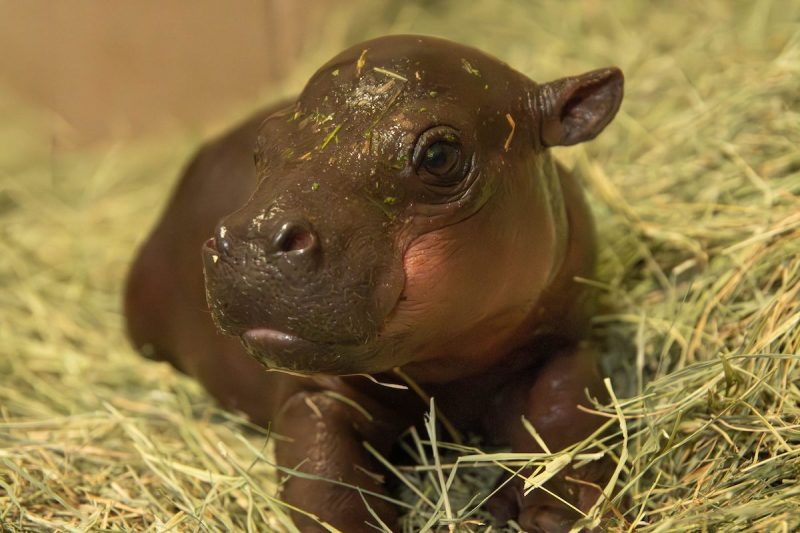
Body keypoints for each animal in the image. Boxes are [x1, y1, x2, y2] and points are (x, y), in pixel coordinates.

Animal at [124, 35, 623, 532]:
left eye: (440, 155)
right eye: (262, 146)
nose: (252, 239)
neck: (447, 368)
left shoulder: (561, 341)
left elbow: (570, 412)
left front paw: (547, 509)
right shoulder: (314, 394)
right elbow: (324, 483)